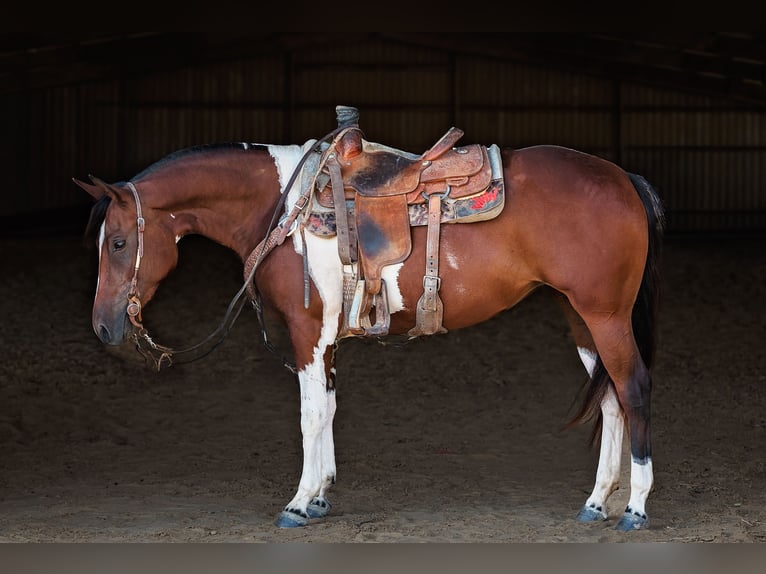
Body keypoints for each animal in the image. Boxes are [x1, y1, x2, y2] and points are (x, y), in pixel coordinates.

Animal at [75, 109, 665, 532]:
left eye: (120, 242)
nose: (104, 328)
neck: (281, 206)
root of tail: (624, 177)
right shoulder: (327, 338)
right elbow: (330, 407)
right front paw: (320, 496)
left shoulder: (309, 332)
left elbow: (311, 414)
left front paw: (297, 503)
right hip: (579, 316)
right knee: (609, 398)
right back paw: (596, 502)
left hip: (607, 315)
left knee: (633, 388)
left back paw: (634, 509)